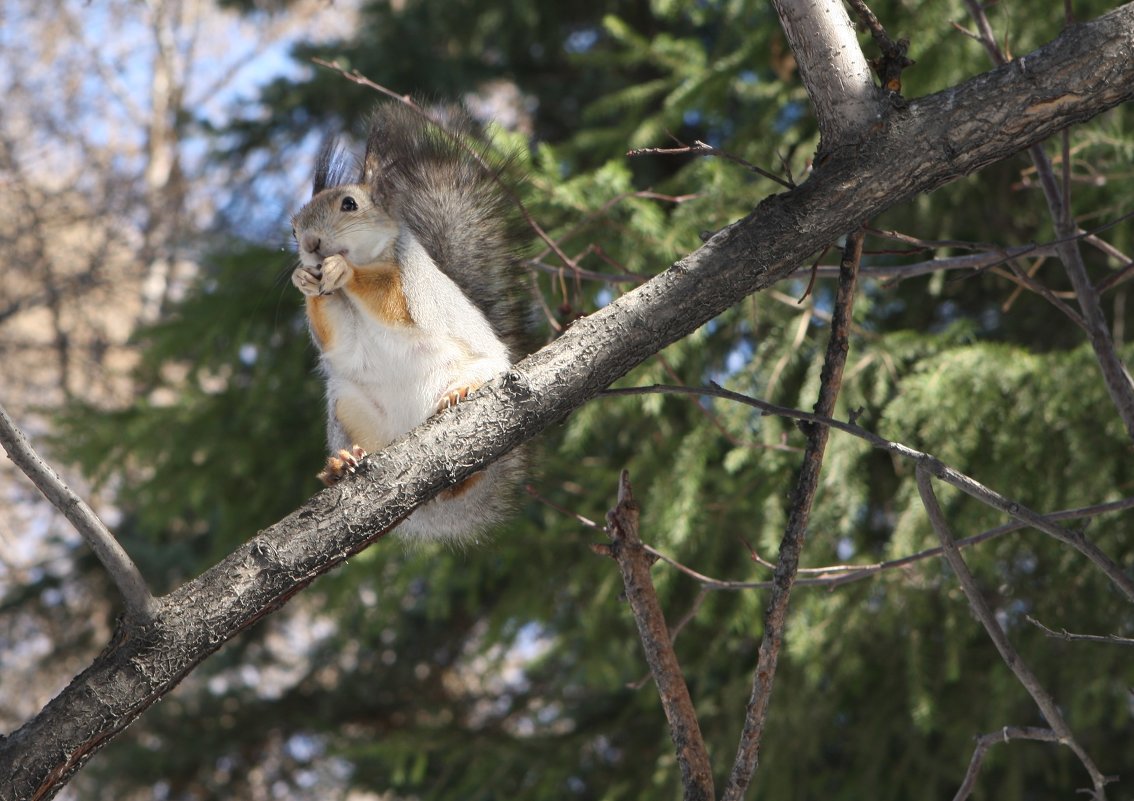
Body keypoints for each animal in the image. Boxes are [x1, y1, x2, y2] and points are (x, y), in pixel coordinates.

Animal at [292, 98, 530, 535]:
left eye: (349, 204)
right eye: (293, 227)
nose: (311, 245)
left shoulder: (414, 286)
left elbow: (392, 303)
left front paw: (346, 271)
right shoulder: (341, 328)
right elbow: (336, 338)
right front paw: (305, 280)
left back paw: (460, 397)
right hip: (348, 406)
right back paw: (342, 464)